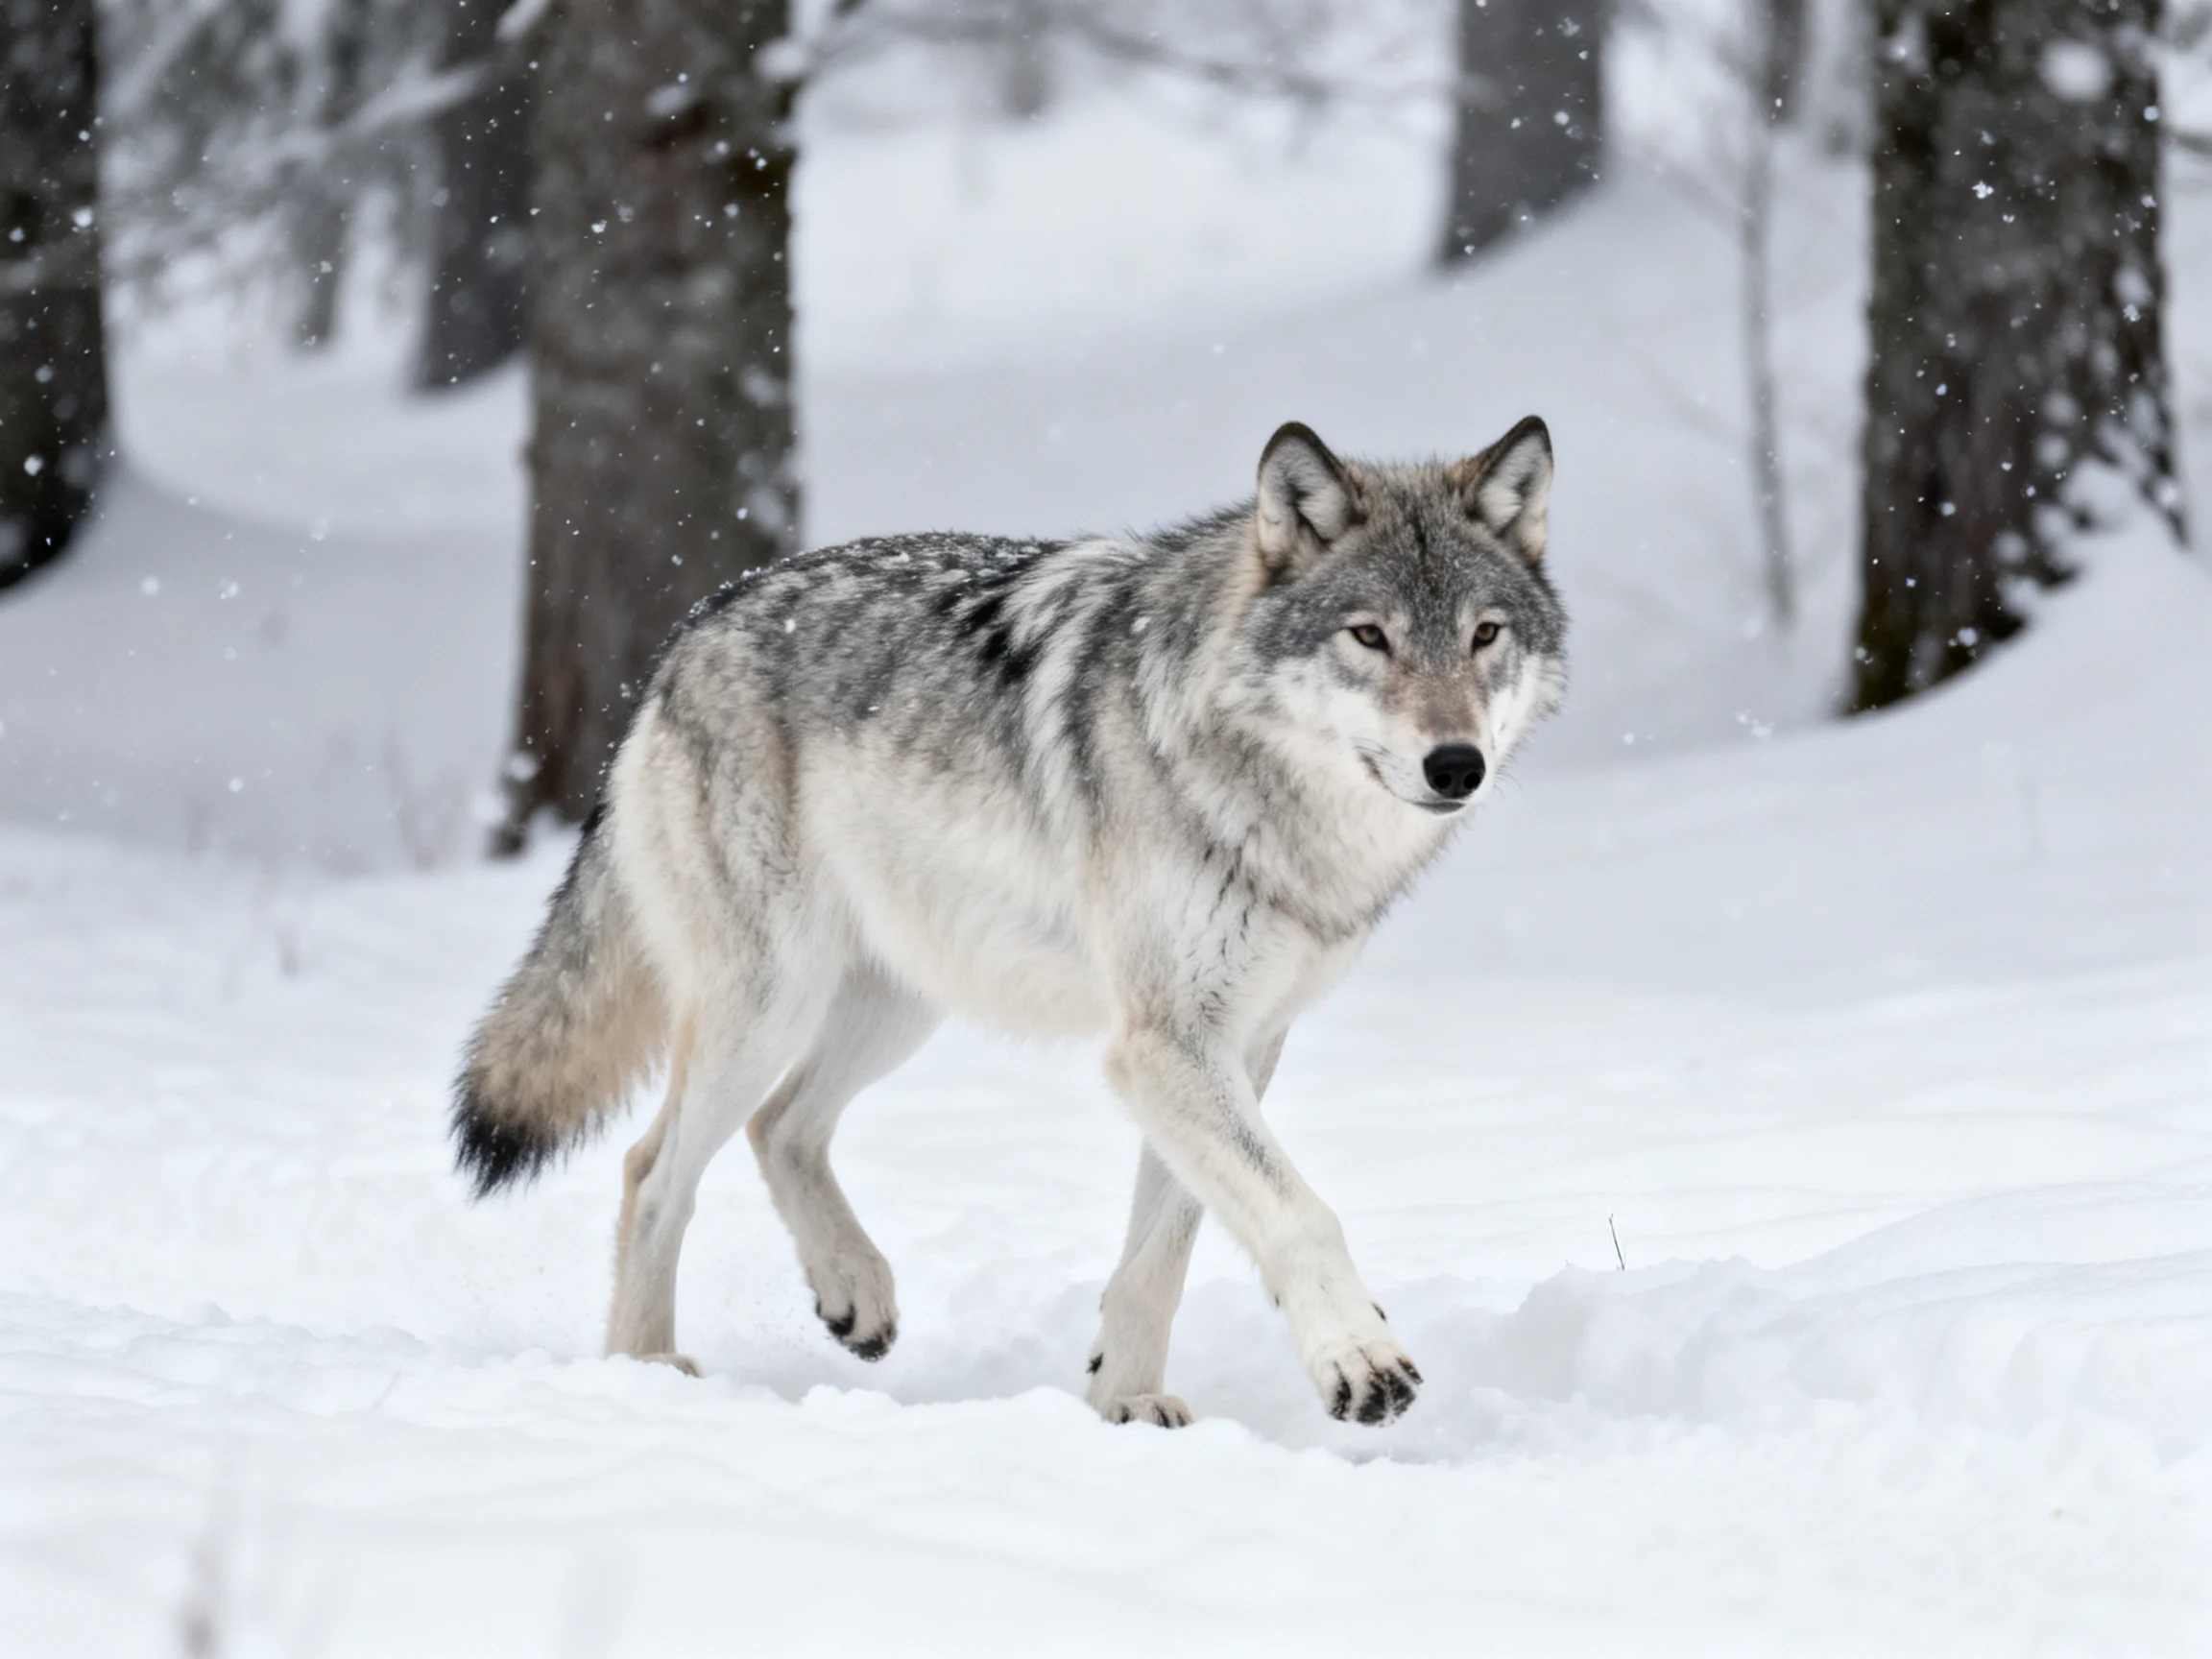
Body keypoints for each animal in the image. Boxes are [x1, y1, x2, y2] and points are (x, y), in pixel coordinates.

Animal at [454, 417, 1566, 1427]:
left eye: (1484, 635)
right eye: (1369, 635)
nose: (1456, 765)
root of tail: (692, 629)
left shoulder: (1235, 1044)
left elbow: (1165, 1247)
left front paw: (1126, 1402)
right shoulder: (1166, 1043)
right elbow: (1300, 1212)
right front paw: (1361, 1363)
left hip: (898, 1004)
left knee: (783, 1126)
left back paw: (854, 1291)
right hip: (768, 1005)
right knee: (654, 1170)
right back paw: (644, 1373)